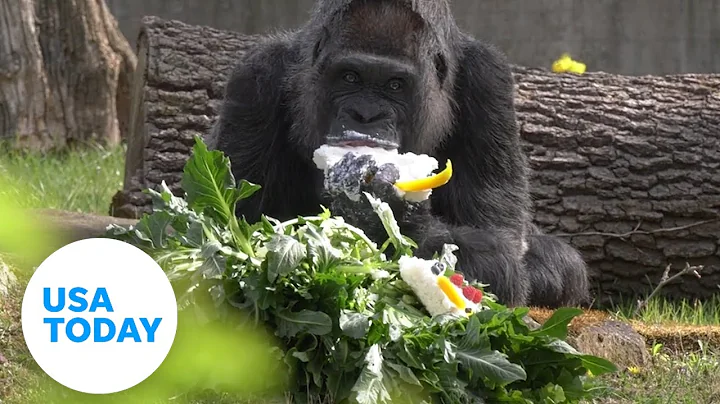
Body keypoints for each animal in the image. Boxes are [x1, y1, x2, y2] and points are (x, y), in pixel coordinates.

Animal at [205, 0, 588, 306]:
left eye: (394, 85)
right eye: (350, 77)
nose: (365, 115)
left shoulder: (490, 81)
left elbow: (499, 251)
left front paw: (391, 211)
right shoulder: (256, 77)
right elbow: (235, 229)